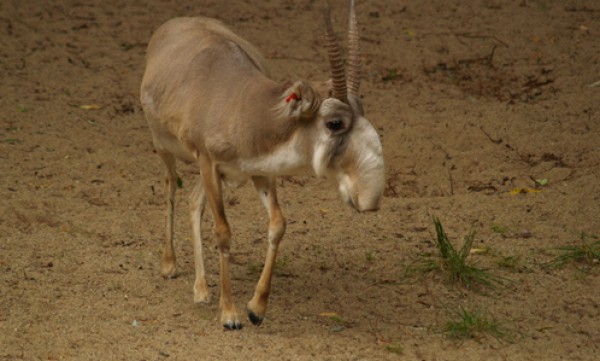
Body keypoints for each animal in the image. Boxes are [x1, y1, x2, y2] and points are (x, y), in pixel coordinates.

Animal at [141, 0, 384, 328]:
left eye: (363, 110)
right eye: (334, 123)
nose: (369, 199)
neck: (243, 109)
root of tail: (173, 25)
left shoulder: (260, 173)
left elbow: (278, 225)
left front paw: (256, 309)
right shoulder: (209, 163)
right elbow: (223, 232)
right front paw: (230, 315)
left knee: (193, 201)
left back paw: (201, 290)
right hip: (166, 149)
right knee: (170, 188)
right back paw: (170, 265)